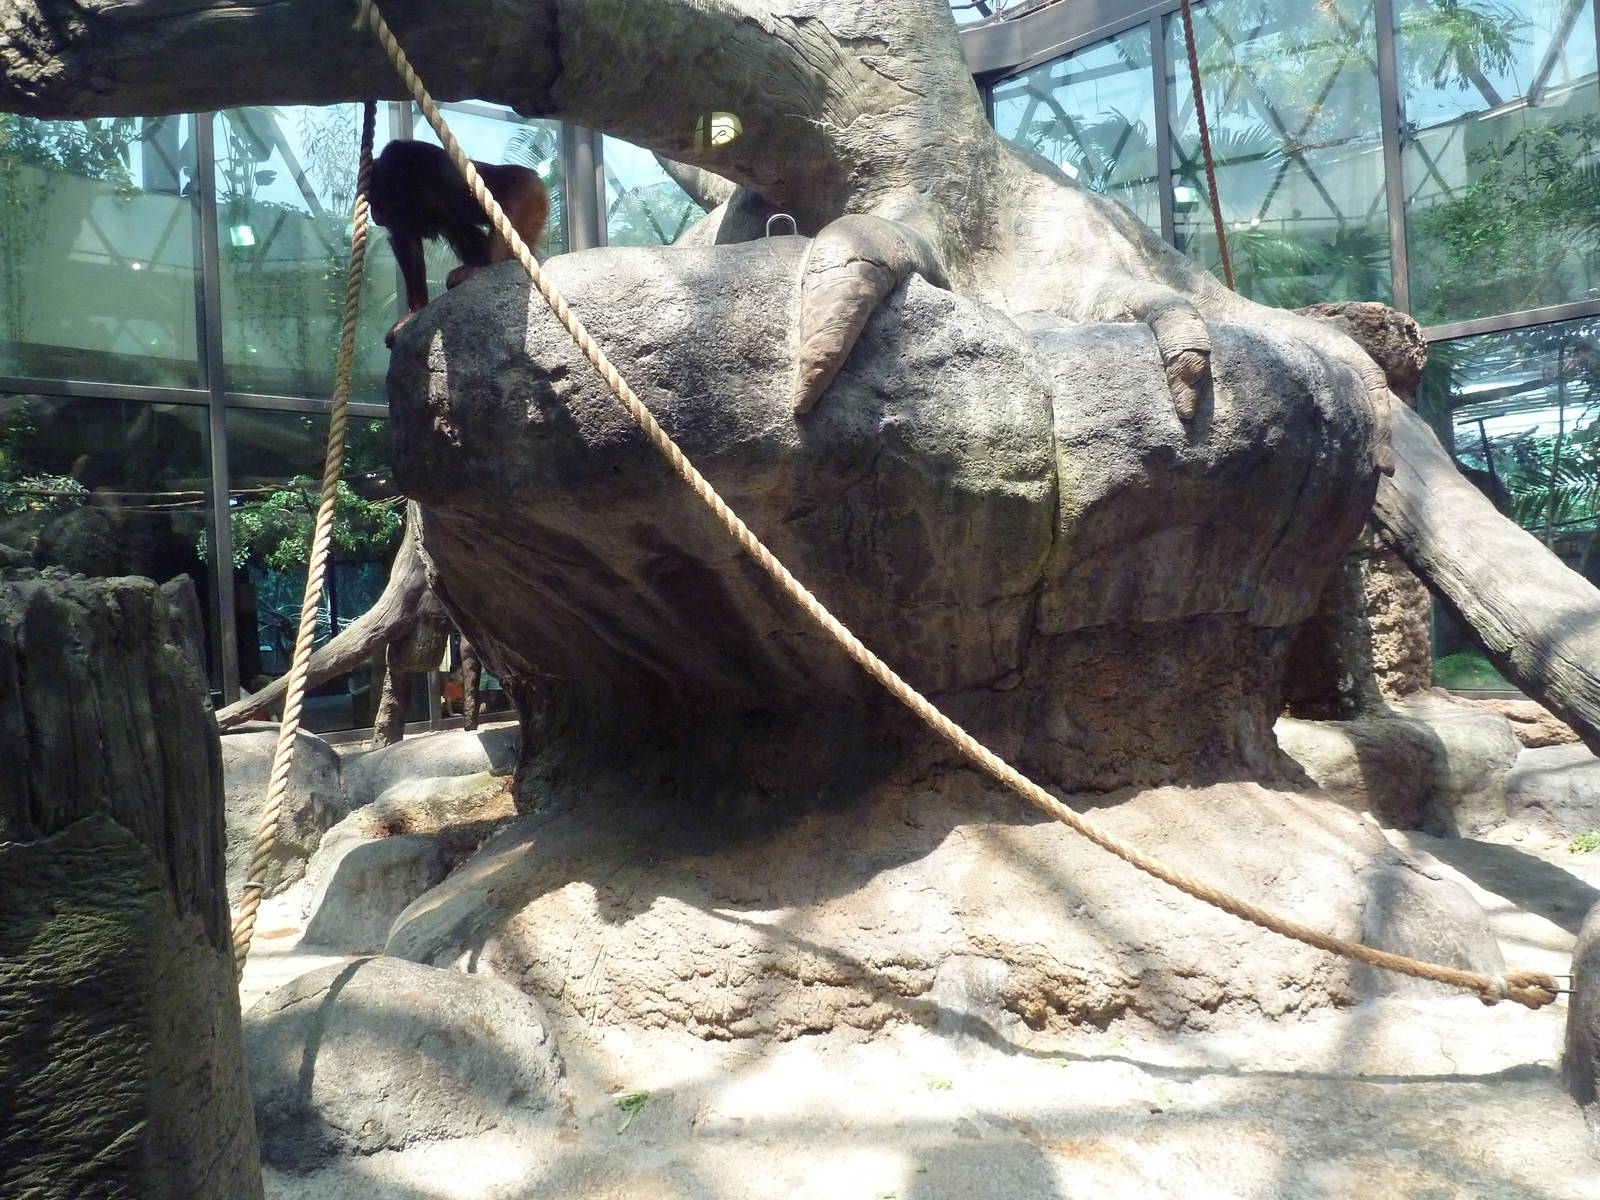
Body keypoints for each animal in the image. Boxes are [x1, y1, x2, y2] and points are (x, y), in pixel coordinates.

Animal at [368, 139, 550, 346]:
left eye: (373, 199)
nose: (374, 214)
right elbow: (406, 240)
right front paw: (415, 312)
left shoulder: (407, 156)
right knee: (455, 226)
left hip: (529, 197)